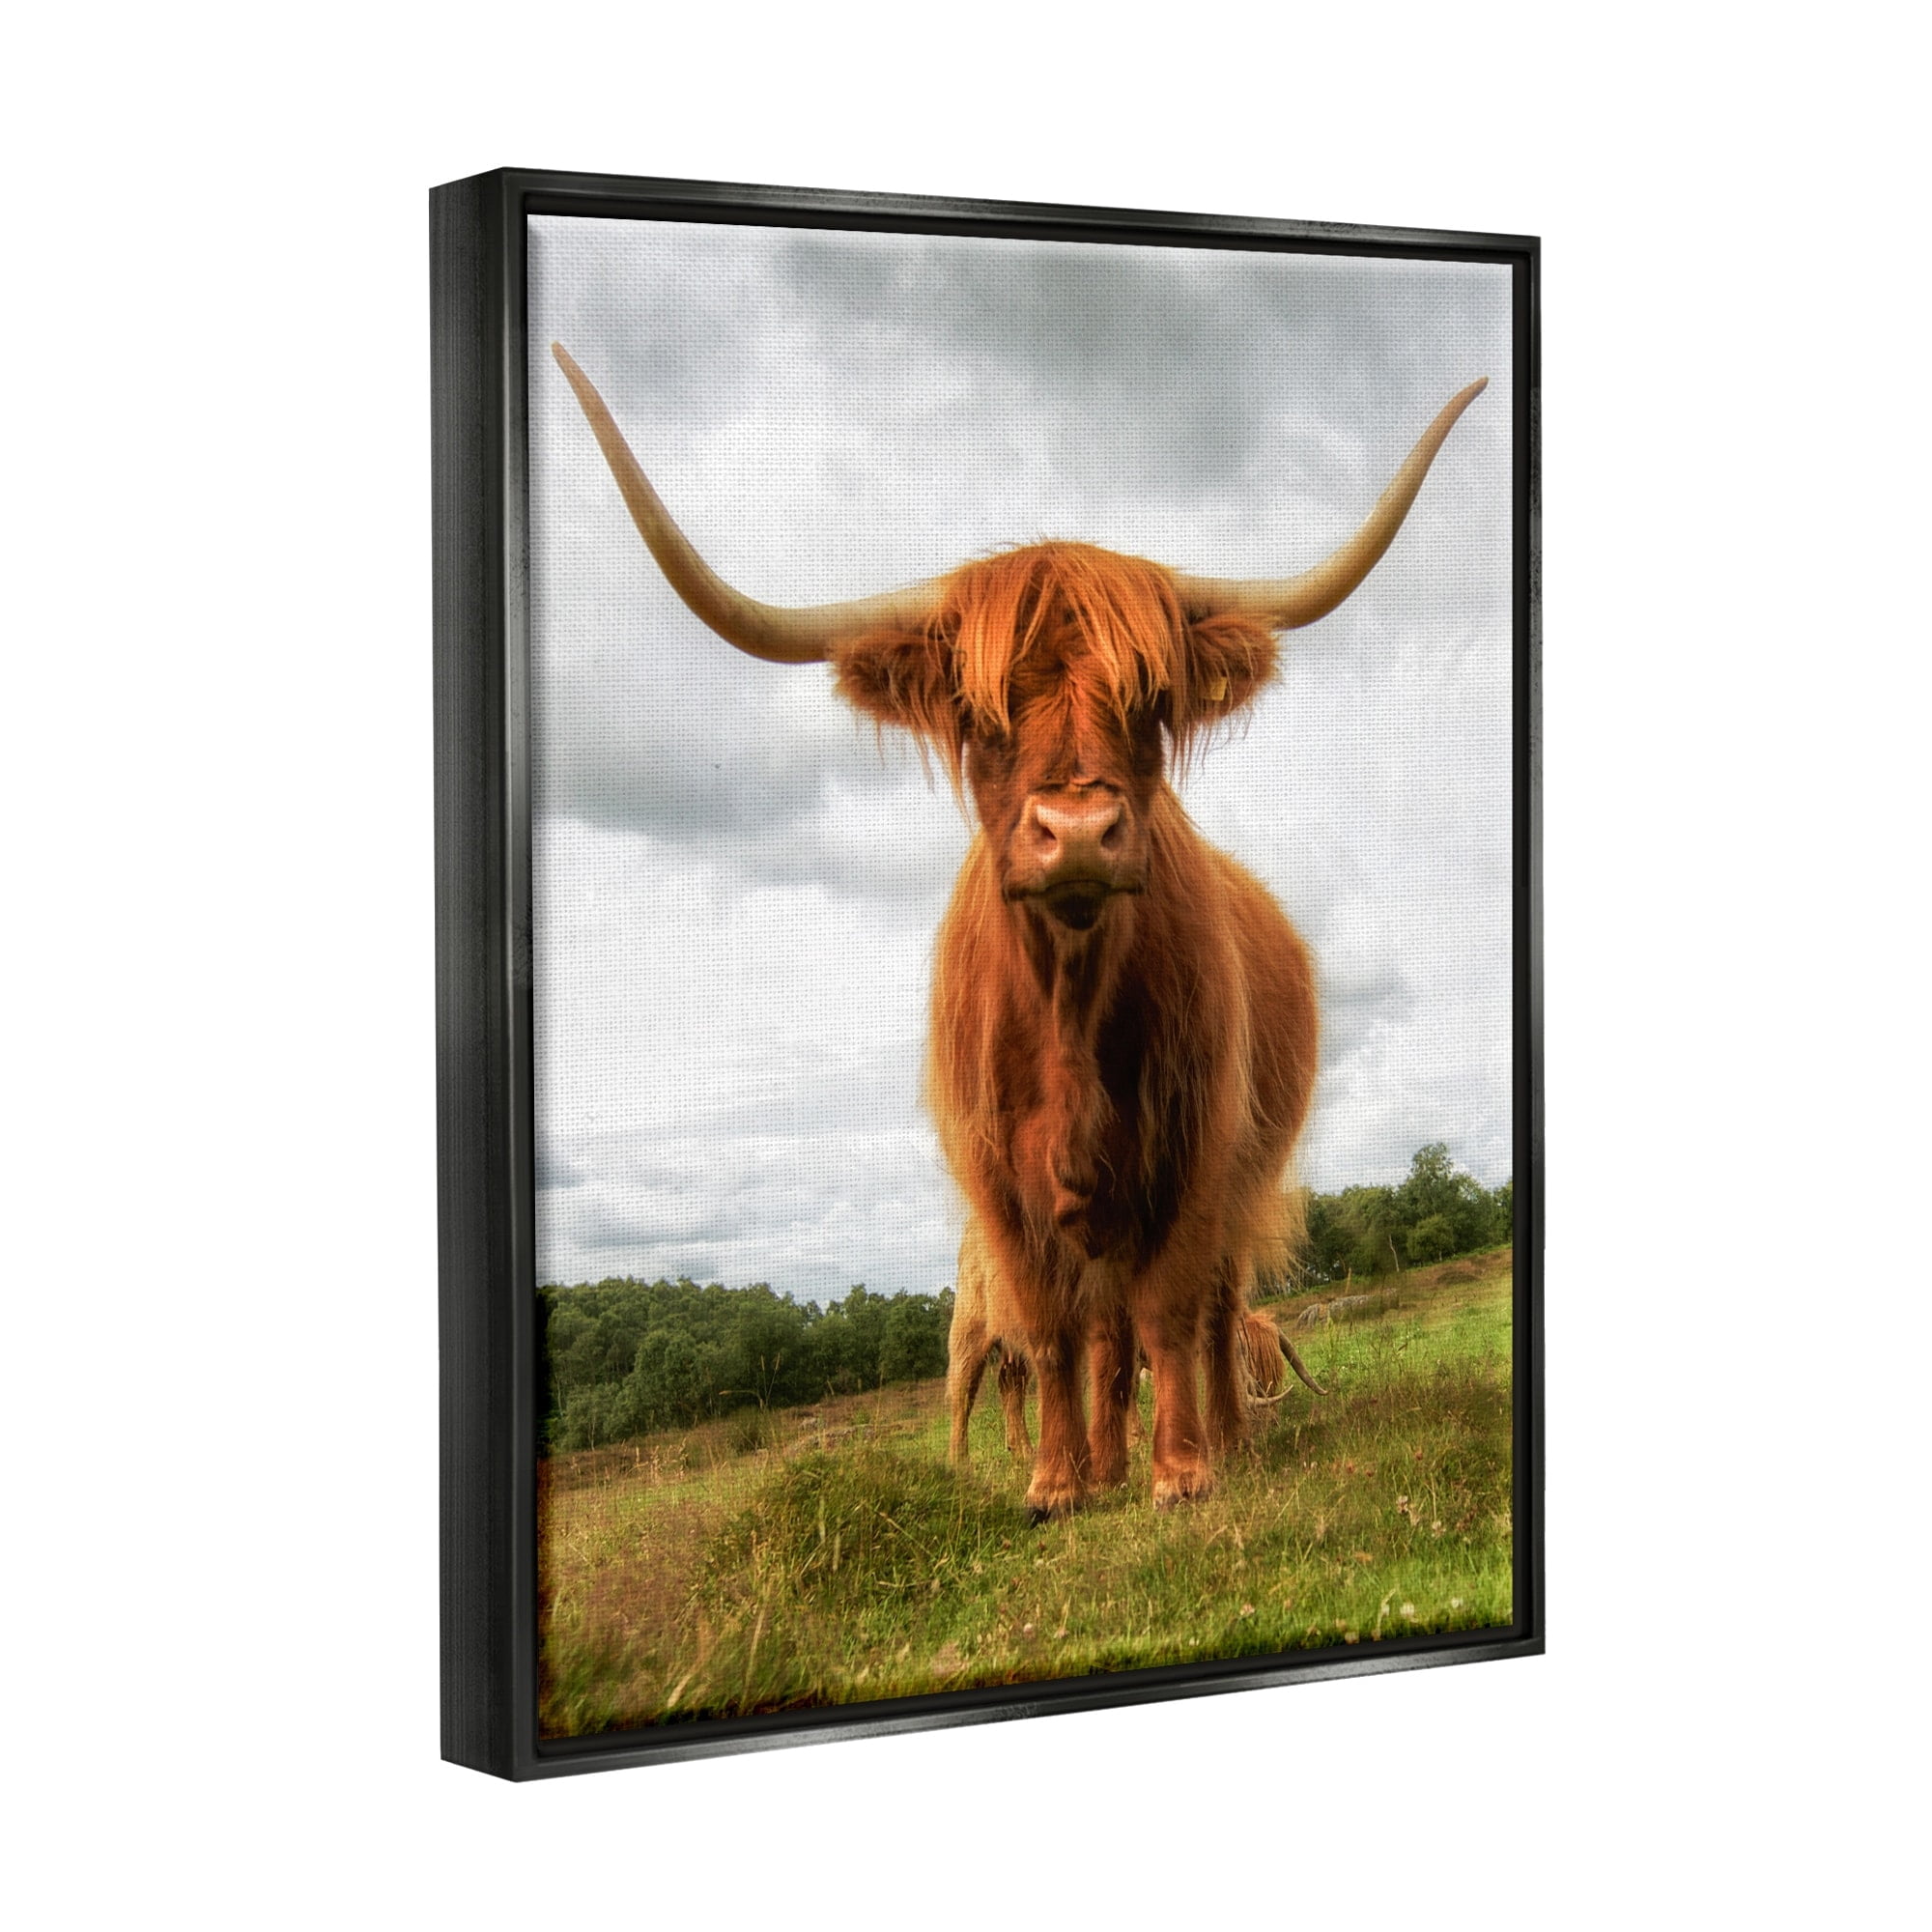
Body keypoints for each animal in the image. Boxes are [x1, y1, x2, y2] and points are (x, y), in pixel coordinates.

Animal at [552, 341, 1484, 1519]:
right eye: (978, 712)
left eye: (1152, 698)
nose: (1077, 831)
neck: (1069, 1010)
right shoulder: (996, 1181)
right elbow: (1050, 1333)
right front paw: (1056, 1484)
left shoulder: (1194, 1148)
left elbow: (1171, 1308)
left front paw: (1181, 1473)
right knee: (1090, 1337)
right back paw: (1097, 1458)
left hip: (1240, 1172)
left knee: (1208, 1310)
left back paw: (1224, 1437)